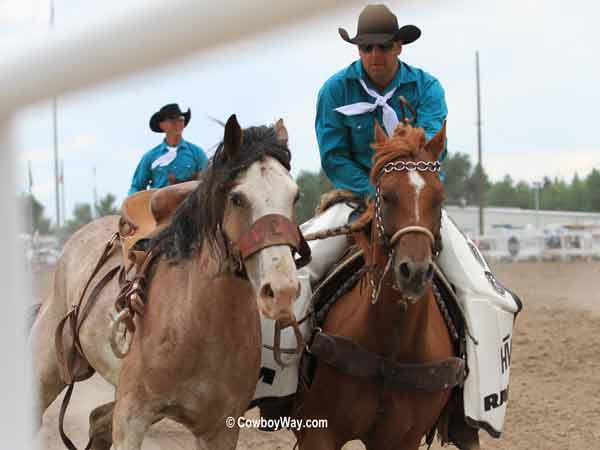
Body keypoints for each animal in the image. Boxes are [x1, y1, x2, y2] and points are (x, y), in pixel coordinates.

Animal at [29, 115, 308, 450]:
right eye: (237, 197)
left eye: (295, 195)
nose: (282, 290)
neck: (198, 322)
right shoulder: (131, 416)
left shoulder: (220, 428)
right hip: (46, 367)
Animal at [292, 119, 476, 450]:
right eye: (387, 196)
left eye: (439, 198)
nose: (414, 271)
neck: (391, 350)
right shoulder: (319, 433)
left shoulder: (402, 439)